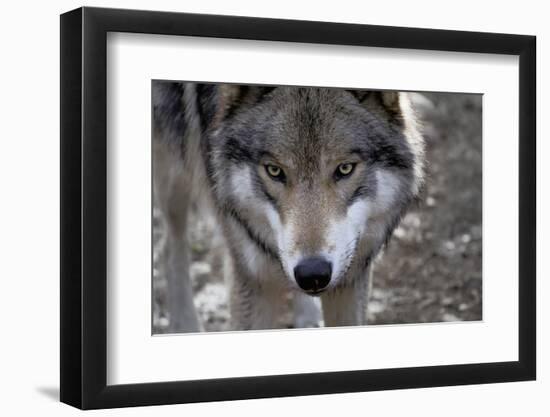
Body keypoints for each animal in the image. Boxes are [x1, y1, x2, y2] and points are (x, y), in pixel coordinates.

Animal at [154, 82, 426, 332]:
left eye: (345, 168)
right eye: (274, 171)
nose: (312, 274)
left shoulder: (352, 273)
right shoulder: (252, 277)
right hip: (174, 172)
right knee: (171, 244)